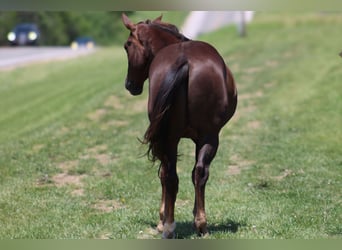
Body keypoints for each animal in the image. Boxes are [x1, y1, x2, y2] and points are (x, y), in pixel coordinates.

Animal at [123, 14, 238, 238]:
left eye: (127, 45)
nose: (129, 85)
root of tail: (184, 61)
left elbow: (163, 175)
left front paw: (161, 219)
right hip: (208, 137)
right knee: (198, 173)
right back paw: (200, 224)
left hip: (174, 137)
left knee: (171, 175)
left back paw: (169, 225)